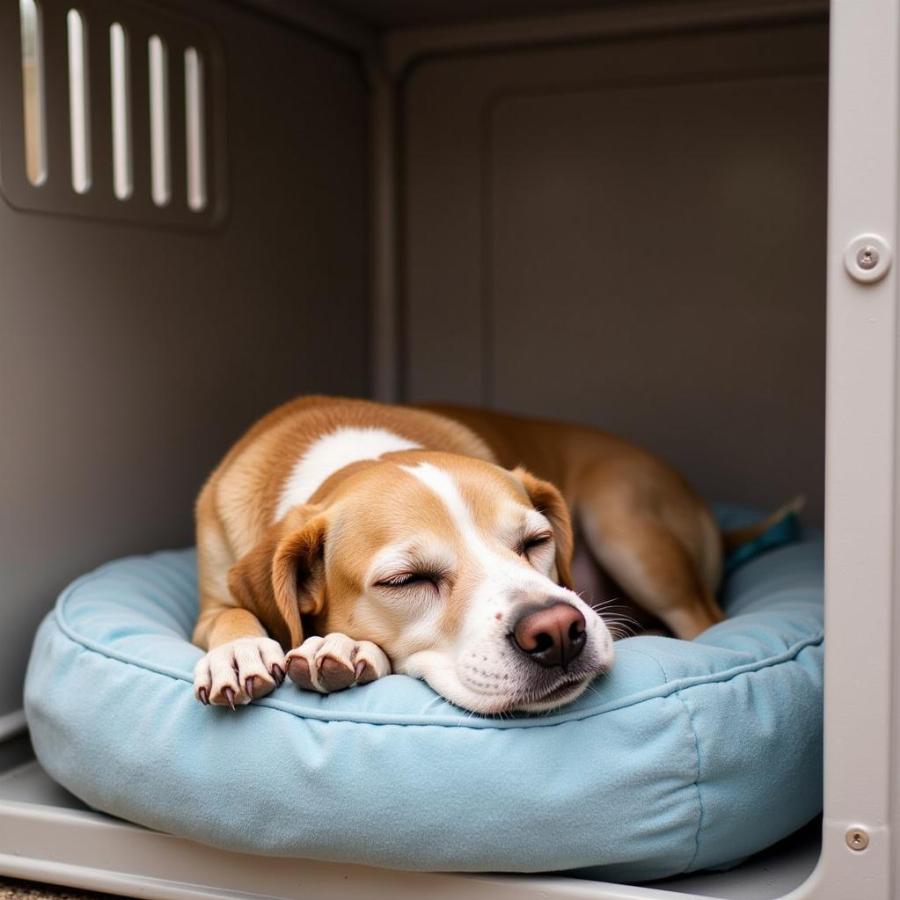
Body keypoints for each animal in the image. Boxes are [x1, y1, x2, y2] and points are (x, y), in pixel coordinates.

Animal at [193, 398, 764, 712]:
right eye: (406, 580)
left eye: (536, 542)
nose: (559, 631)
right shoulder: (210, 603)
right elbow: (230, 615)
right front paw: (240, 650)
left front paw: (337, 648)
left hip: (623, 523)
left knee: (705, 620)